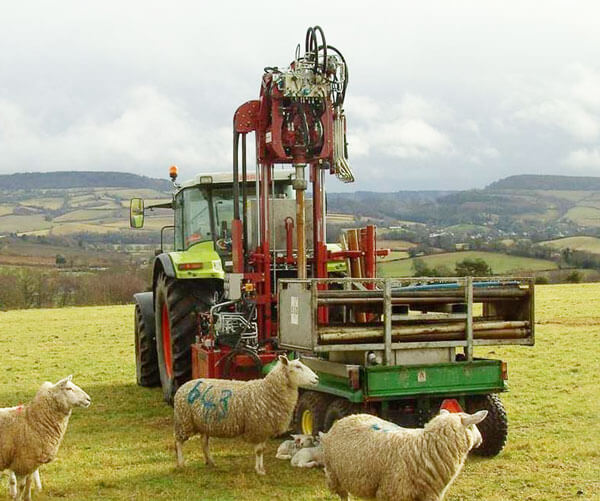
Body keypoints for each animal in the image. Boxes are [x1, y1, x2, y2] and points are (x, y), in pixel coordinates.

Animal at [173, 354, 318, 474]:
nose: (317, 378)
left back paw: (210, 461)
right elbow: (259, 451)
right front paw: (259, 470)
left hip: (203, 423)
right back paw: (181, 464)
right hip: (184, 421)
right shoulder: (258, 427)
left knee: (203, 442)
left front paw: (261, 468)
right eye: (298, 367)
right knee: (178, 442)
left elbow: (262, 450)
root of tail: (182, 387)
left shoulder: (264, 429)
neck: (267, 391)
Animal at [324, 408, 488, 498]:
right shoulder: (392, 493)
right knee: (343, 495)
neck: (425, 448)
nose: (481, 439)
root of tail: (348, 417)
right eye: (472, 426)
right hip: (334, 474)